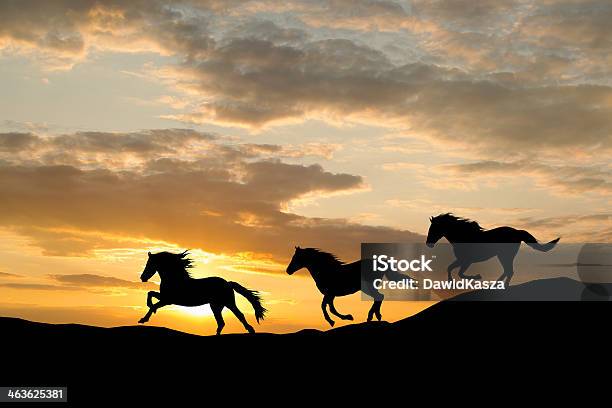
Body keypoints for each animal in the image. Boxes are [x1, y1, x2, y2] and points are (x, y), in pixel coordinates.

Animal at [426, 215, 560, 286]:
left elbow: (459, 273)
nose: (428, 244)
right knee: (508, 271)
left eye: (433, 229)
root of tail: (517, 231)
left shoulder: (467, 261)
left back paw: (501, 286)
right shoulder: (462, 260)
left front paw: (477, 277)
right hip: (503, 256)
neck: (463, 236)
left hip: (505, 256)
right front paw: (451, 281)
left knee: (509, 271)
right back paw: (497, 285)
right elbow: (450, 268)